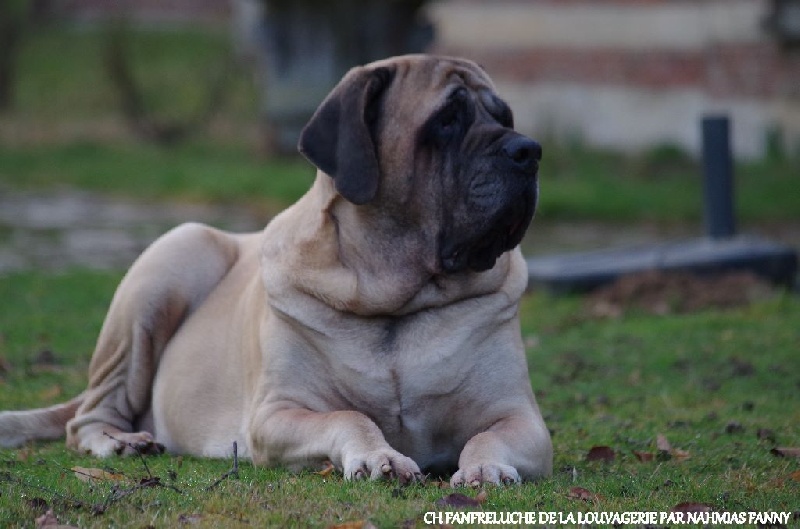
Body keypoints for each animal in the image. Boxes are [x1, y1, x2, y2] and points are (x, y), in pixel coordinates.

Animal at [0, 55, 552, 486]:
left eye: (504, 115)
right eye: (447, 120)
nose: (528, 150)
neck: (396, 297)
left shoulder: (521, 418)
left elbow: (489, 435)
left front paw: (485, 467)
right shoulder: (277, 412)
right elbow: (349, 415)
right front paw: (380, 456)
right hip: (175, 255)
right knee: (86, 418)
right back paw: (119, 442)